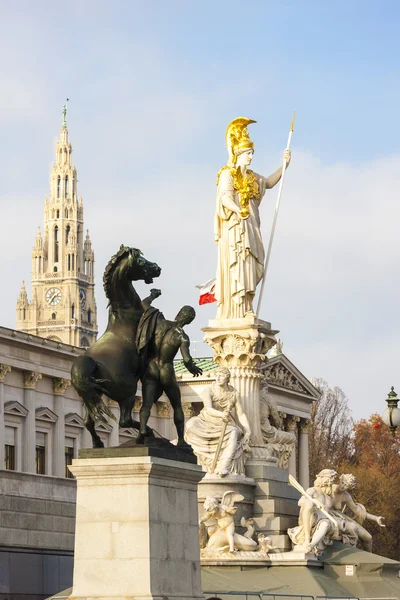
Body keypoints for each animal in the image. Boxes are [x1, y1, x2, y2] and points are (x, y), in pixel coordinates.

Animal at [72, 244, 161, 446]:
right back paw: (147, 433)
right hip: (127, 393)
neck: (124, 310)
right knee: (124, 421)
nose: (157, 268)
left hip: (92, 396)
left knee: (88, 421)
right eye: (141, 260)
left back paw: (98, 443)